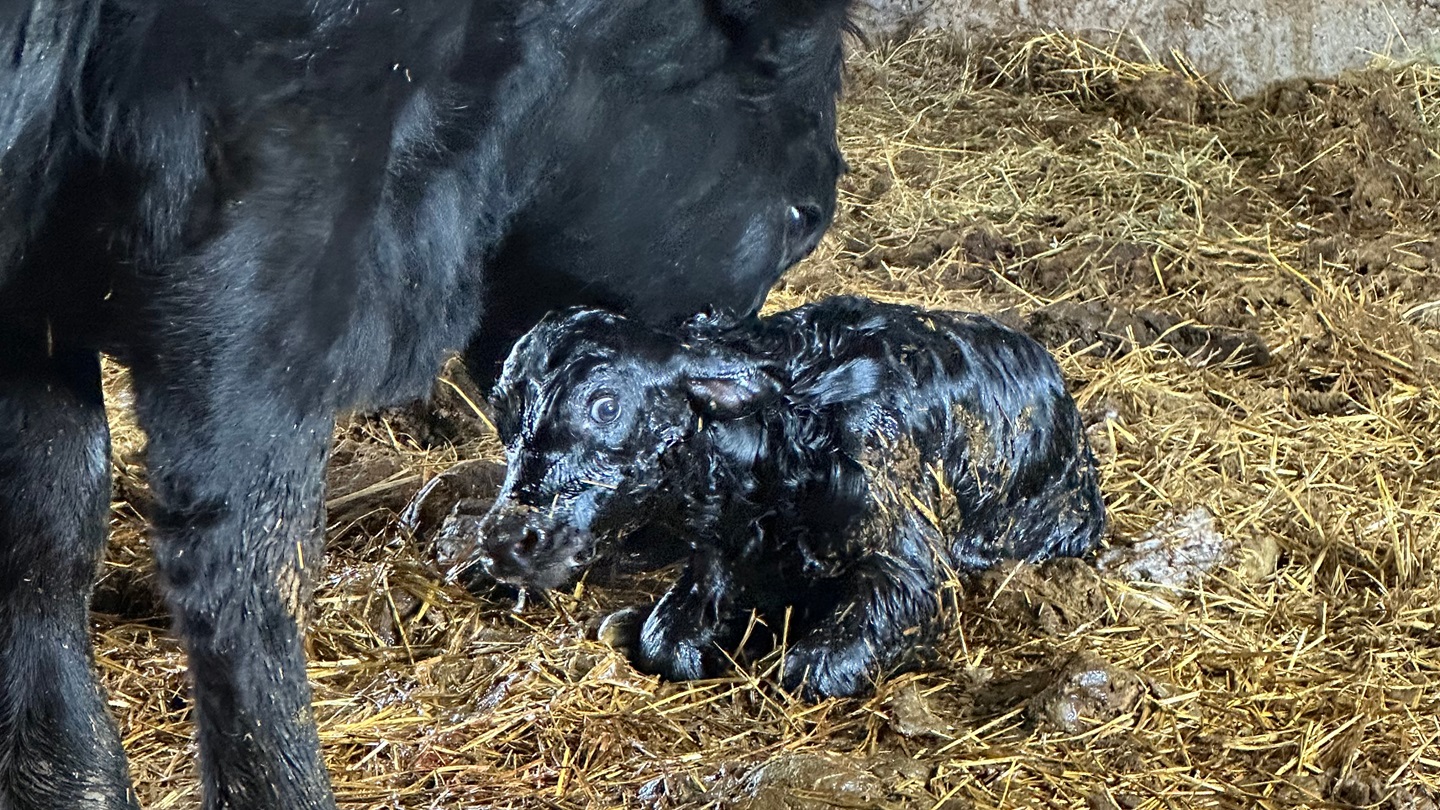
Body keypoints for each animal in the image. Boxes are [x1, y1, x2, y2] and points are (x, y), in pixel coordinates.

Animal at [468, 296, 1108, 700]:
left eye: (606, 405)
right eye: (503, 415)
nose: (504, 540)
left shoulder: (909, 563)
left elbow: (814, 667)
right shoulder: (719, 555)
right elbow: (664, 640)